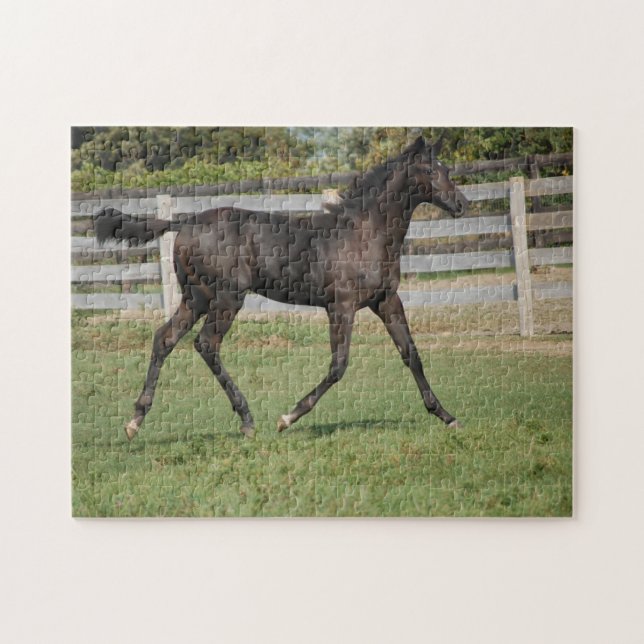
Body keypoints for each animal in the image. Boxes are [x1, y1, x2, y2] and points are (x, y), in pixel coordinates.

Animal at [94, 136, 468, 440]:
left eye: (446, 168)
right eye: (430, 170)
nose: (462, 204)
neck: (364, 232)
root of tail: (185, 221)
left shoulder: (387, 301)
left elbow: (411, 354)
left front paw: (447, 416)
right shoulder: (341, 306)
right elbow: (338, 365)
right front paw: (287, 418)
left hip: (196, 297)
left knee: (165, 338)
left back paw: (135, 420)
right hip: (227, 299)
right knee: (206, 344)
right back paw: (247, 420)